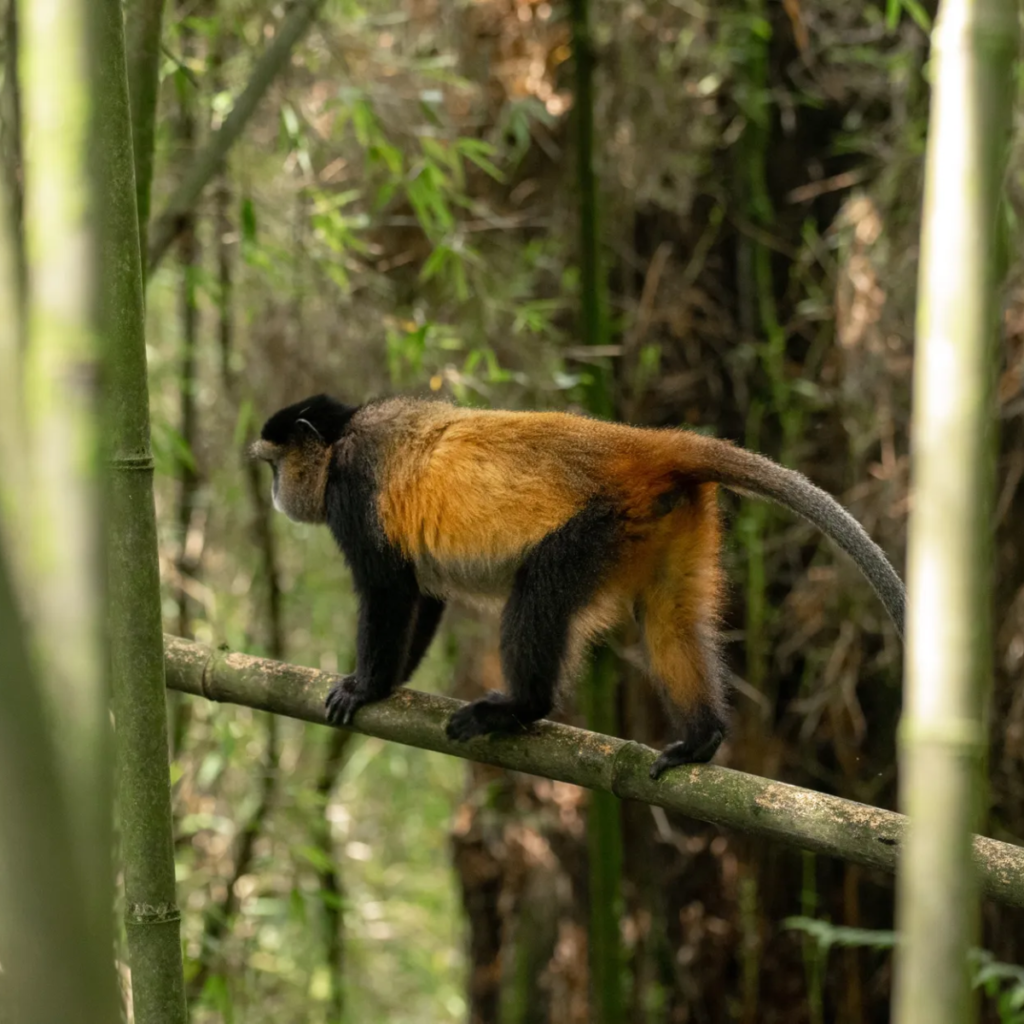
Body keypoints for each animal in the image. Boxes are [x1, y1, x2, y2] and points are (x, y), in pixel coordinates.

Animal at [251, 393, 904, 779]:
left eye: (273, 465)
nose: (274, 491)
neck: (343, 436)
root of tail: (638, 444)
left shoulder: (352, 491)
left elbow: (390, 588)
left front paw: (366, 687)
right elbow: (423, 591)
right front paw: (389, 686)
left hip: (599, 525)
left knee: (538, 591)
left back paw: (520, 708)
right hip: (666, 520)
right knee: (669, 616)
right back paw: (701, 738)